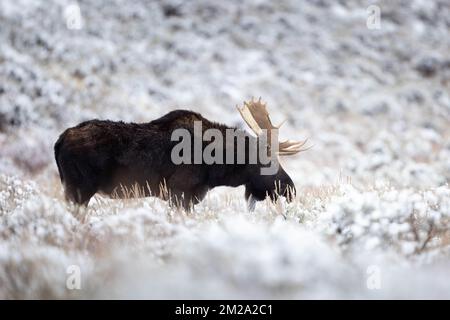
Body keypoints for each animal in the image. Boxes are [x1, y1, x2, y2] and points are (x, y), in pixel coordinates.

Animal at [54, 100, 308, 210]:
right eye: (268, 161)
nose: (291, 188)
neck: (217, 168)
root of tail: (58, 142)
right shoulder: (180, 192)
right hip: (79, 188)